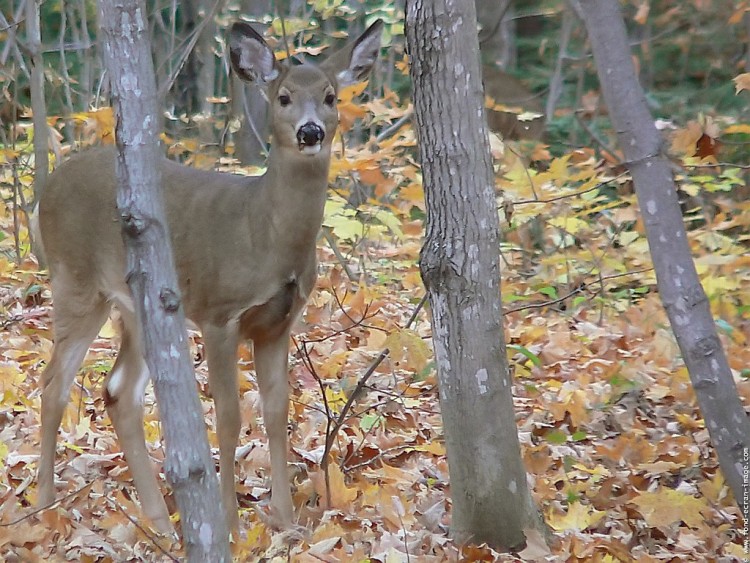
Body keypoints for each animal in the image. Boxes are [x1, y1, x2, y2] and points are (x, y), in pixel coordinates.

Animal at [36, 18, 384, 536]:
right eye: (283, 97)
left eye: (329, 96)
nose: (310, 131)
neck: (265, 234)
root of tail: (49, 187)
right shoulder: (222, 314)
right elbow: (228, 417)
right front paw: (233, 527)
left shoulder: (279, 323)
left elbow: (276, 412)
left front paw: (284, 520)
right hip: (74, 278)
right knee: (53, 384)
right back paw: (43, 507)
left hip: (137, 305)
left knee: (119, 391)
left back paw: (160, 521)